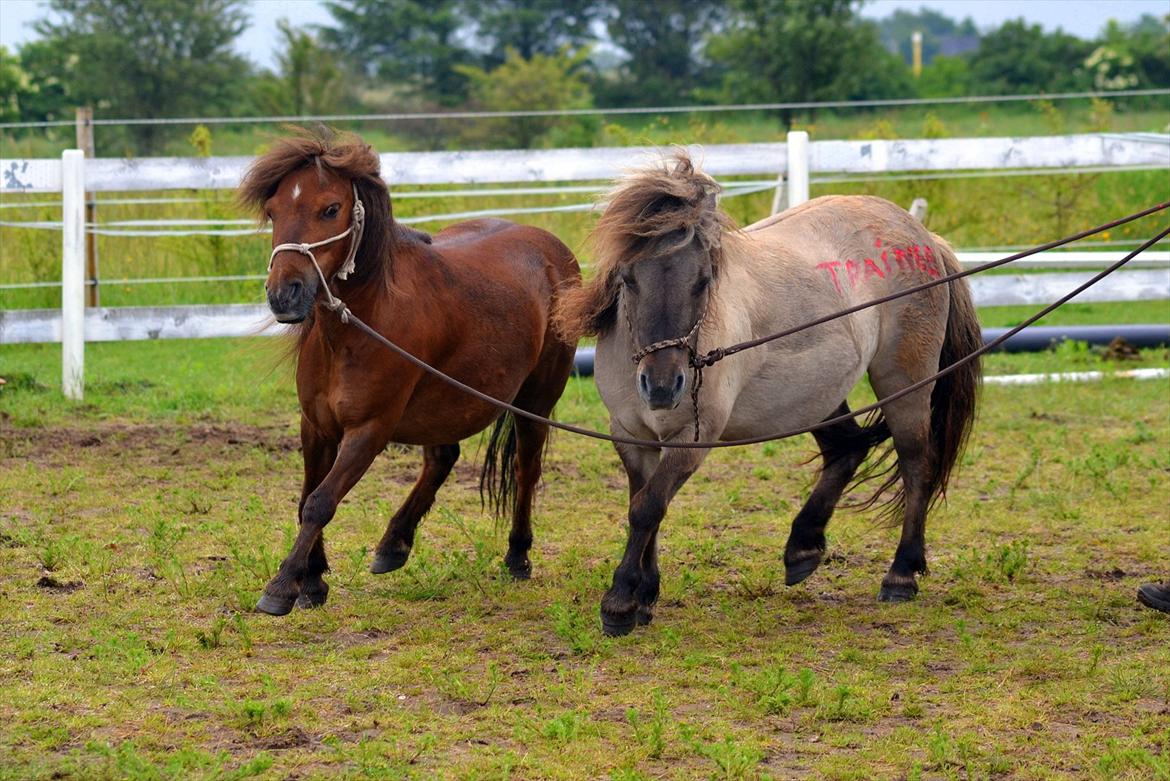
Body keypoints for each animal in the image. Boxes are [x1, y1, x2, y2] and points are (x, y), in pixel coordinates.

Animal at [241, 130, 580, 612]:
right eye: (273, 210)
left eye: (330, 209)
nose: (283, 295)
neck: (358, 324)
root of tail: (554, 251)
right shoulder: (316, 426)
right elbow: (307, 496)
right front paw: (313, 580)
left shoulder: (369, 429)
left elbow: (321, 501)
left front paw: (284, 585)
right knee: (443, 458)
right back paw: (393, 544)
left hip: (535, 402)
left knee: (524, 470)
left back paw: (517, 557)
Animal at [552, 151, 982, 636]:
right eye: (628, 279)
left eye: (703, 281)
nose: (662, 387)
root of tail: (922, 235)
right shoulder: (630, 435)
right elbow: (644, 505)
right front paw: (645, 594)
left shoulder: (693, 440)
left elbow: (647, 508)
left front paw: (621, 601)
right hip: (818, 393)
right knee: (848, 448)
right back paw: (803, 547)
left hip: (903, 382)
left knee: (915, 463)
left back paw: (901, 573)